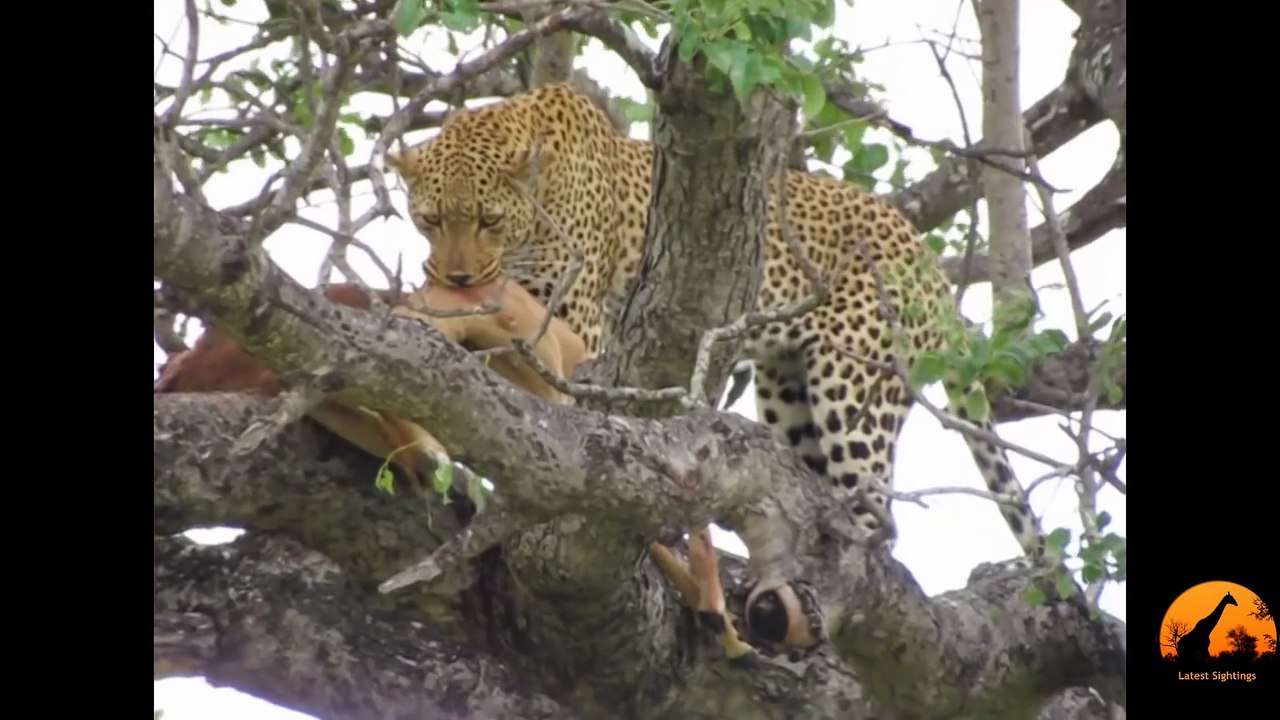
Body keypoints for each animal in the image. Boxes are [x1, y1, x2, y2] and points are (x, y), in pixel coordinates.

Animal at [385, 82, 1046, 657]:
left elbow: (562, 405)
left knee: (876, 519)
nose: (456, 277)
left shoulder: (574, 322)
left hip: (854, 387)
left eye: (488, 220)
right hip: (787, 396)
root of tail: (921, 250)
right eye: (431, 220)